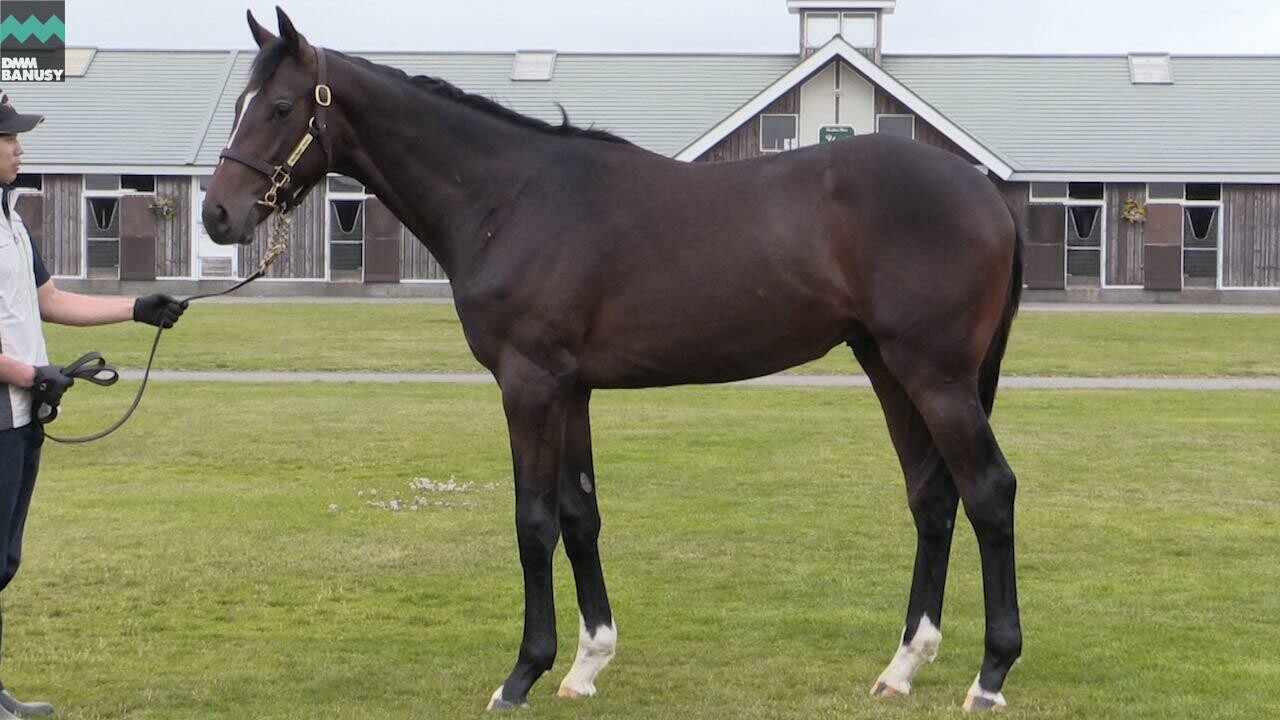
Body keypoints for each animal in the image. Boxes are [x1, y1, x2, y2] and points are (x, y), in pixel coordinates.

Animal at [207, 8, 1029, 707]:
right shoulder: (570, 389)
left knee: (989, 492)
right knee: (932, 499)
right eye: (242, 103)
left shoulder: (529, 384)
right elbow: (580, 515)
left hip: (936, 377)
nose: (219, 213)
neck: (510, 197)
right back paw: (902, 667)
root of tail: (986, 194)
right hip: (888, 366)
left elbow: (533, 521)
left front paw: (522, 674)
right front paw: (586, 664)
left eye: (281, 108)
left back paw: (990, 675)